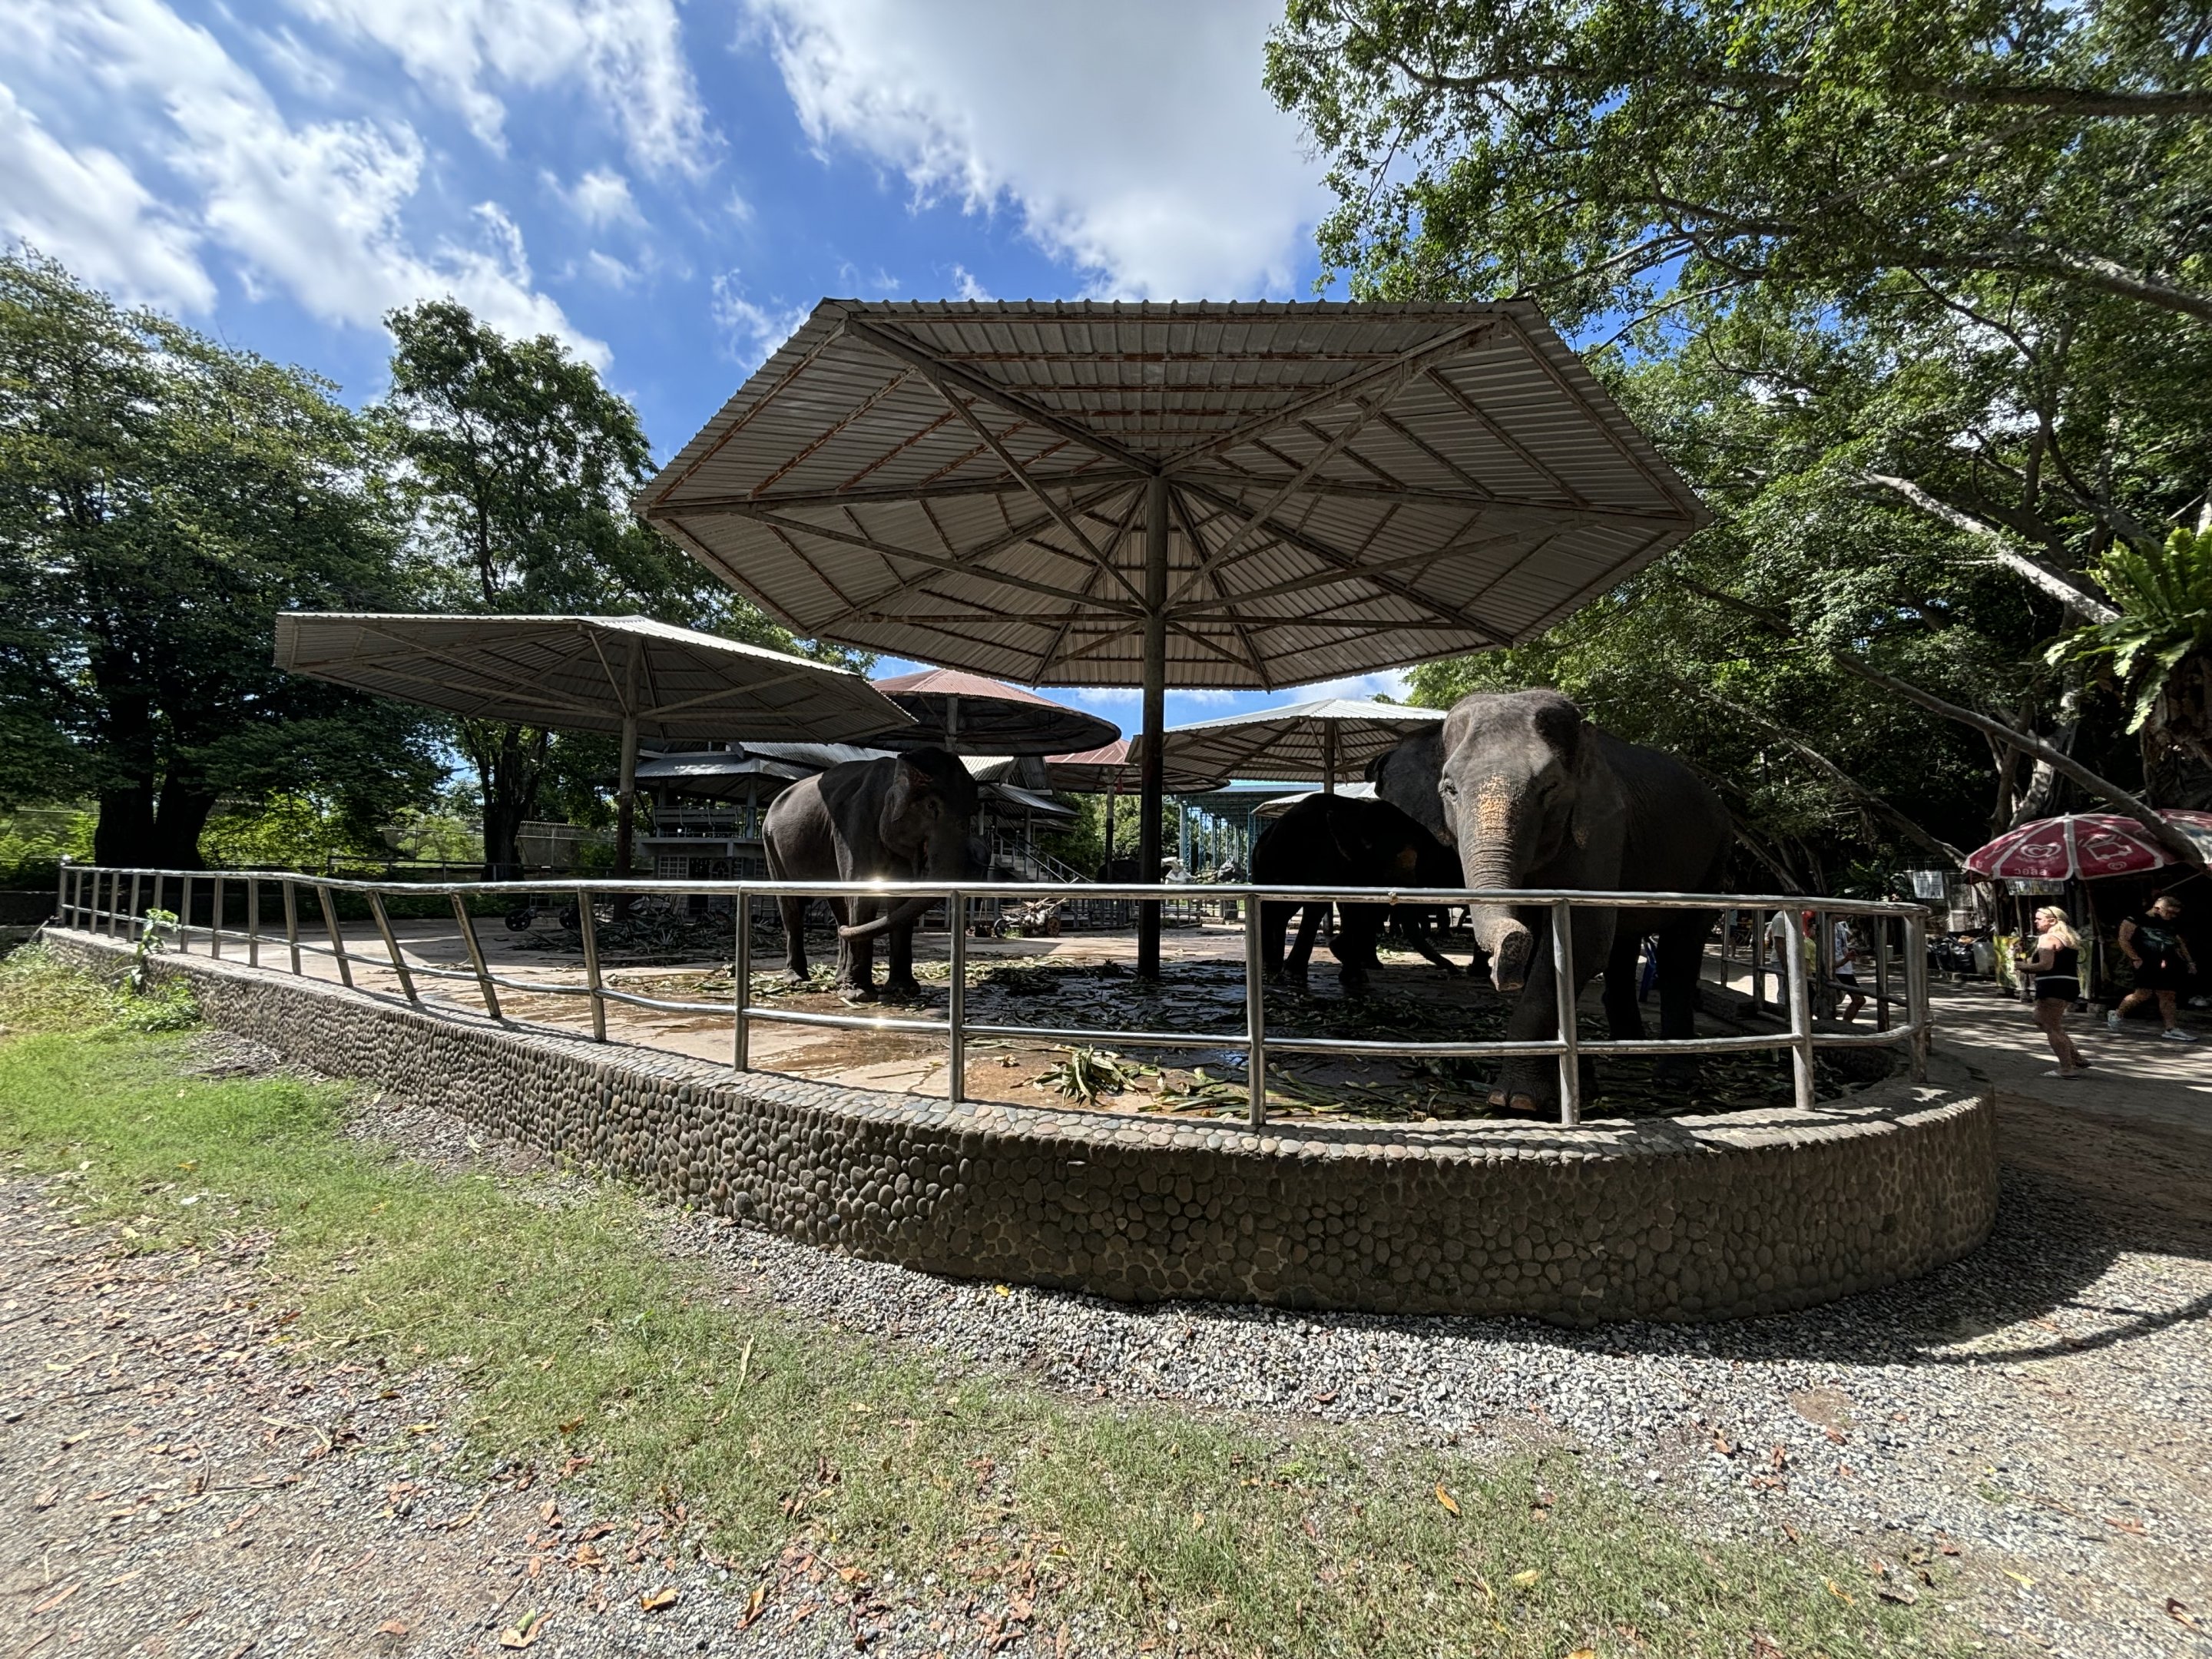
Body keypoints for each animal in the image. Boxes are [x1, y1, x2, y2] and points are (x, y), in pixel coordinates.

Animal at [760, 747, 980, 1001]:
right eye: (931, 806)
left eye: (972, 812)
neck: (894, 773)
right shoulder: (855, 824)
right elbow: (862, 893)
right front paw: (858, 995)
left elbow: (900, 899)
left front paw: (903, 990)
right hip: (771, 845)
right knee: (792, 907)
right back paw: (797, 980)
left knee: (839, 906)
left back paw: (838, 975)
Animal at [1251, 793, 1464, 994]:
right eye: (1385, 863)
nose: (1454, 971)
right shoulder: (1323, 853)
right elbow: (1321, 904)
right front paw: (1298, 973)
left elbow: (1359, 905)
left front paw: (1352, 970)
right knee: (1274, 909)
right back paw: (1272, 968)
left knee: (1282, 912)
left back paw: (1275, 966)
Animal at [1425, 690, 1732, 1113]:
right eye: (1449, 789)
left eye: (1550, 787)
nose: (1504, 969)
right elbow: (1568, 943)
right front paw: (1574, 1087)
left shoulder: (1603, 827)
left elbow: (1580, 939)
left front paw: (1516, 1100)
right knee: (1623, 944)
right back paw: (1625, 1049)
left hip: (1715, 858)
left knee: (1680, 953)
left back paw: (1676, 1079)